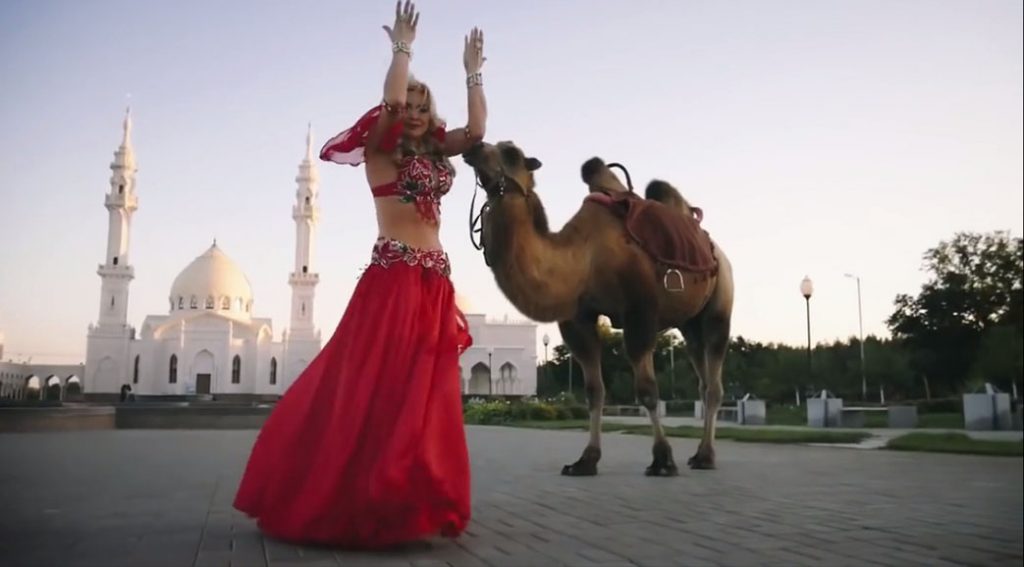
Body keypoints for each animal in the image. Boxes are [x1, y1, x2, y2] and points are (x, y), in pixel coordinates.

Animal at [460, 141, 733, 472]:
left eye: (511, 153)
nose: (474, 147)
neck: (584, 257)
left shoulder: (639, 310)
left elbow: (647, 390)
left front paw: (662, 459)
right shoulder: (578, 318)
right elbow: (594, 391)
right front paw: (586, 460)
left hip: (720, 301)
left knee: (714, 381)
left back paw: (705, 456)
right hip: (690, 322)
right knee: (702, 378)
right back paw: (699, 454)